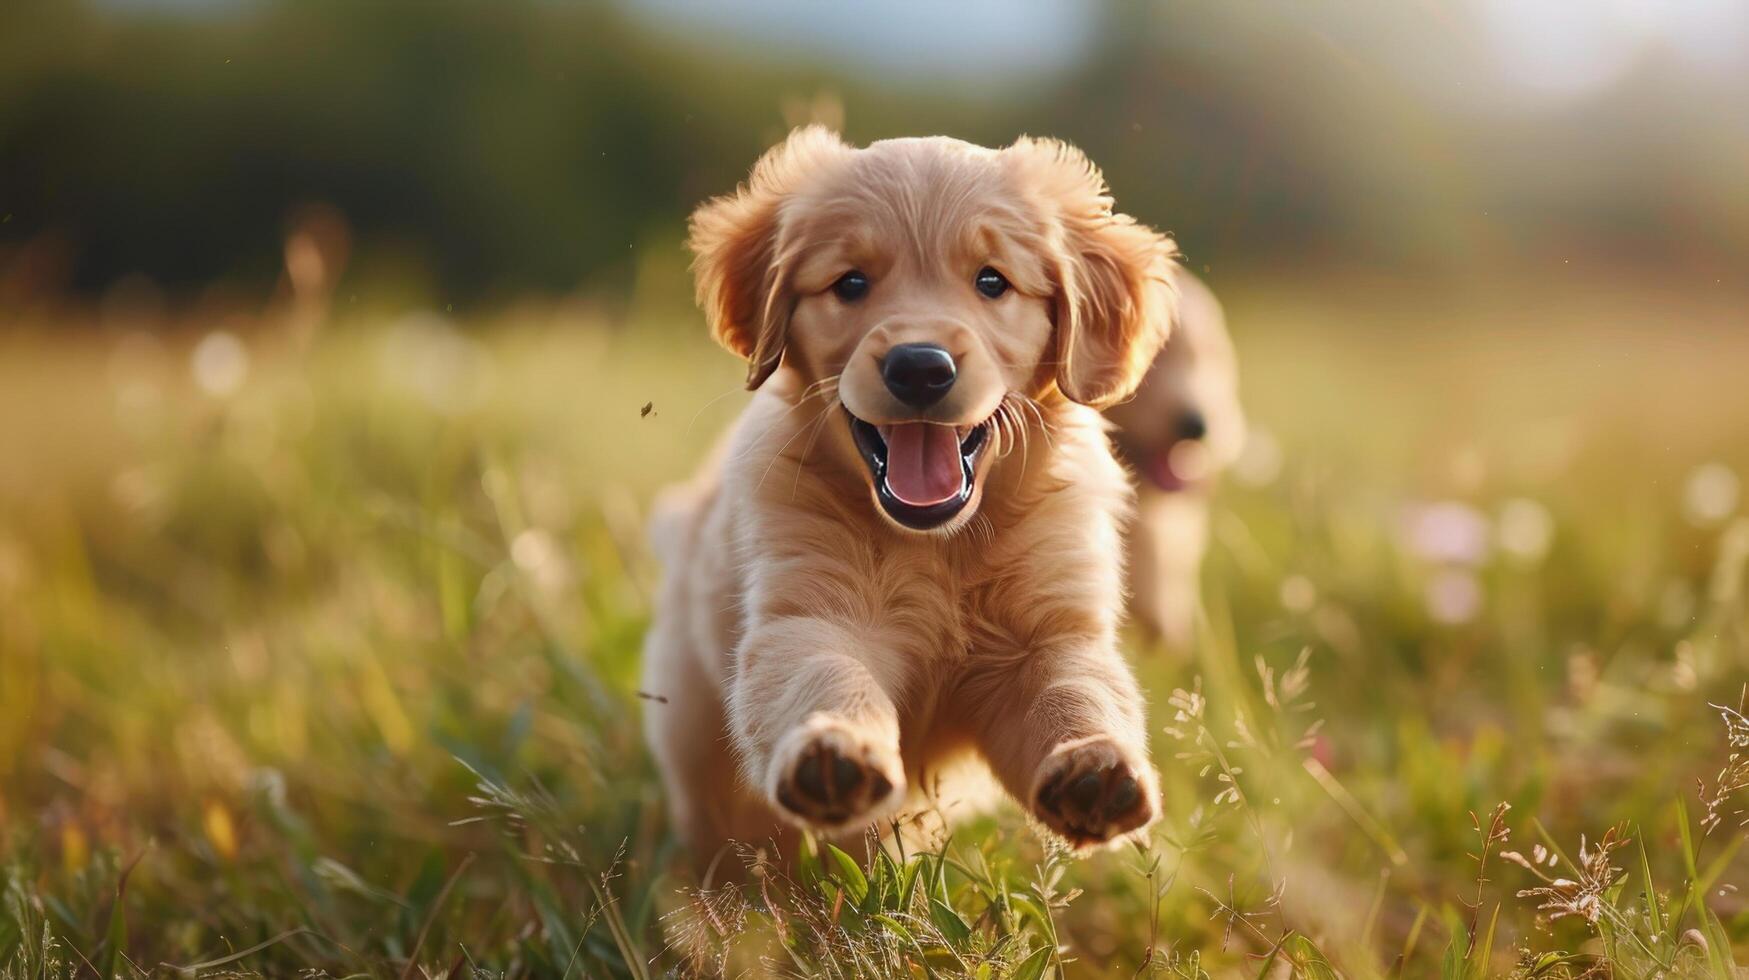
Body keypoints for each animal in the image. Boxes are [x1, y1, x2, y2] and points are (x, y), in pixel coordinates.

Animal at [650, 126, 1182, 861]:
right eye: (850, 283)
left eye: (992, 281)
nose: (921, 366)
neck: (939, 546)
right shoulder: (812, 609)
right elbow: (823, 673)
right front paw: (834, 751)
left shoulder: (1048, 635)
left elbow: (1076, 692)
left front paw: (1094, 767)